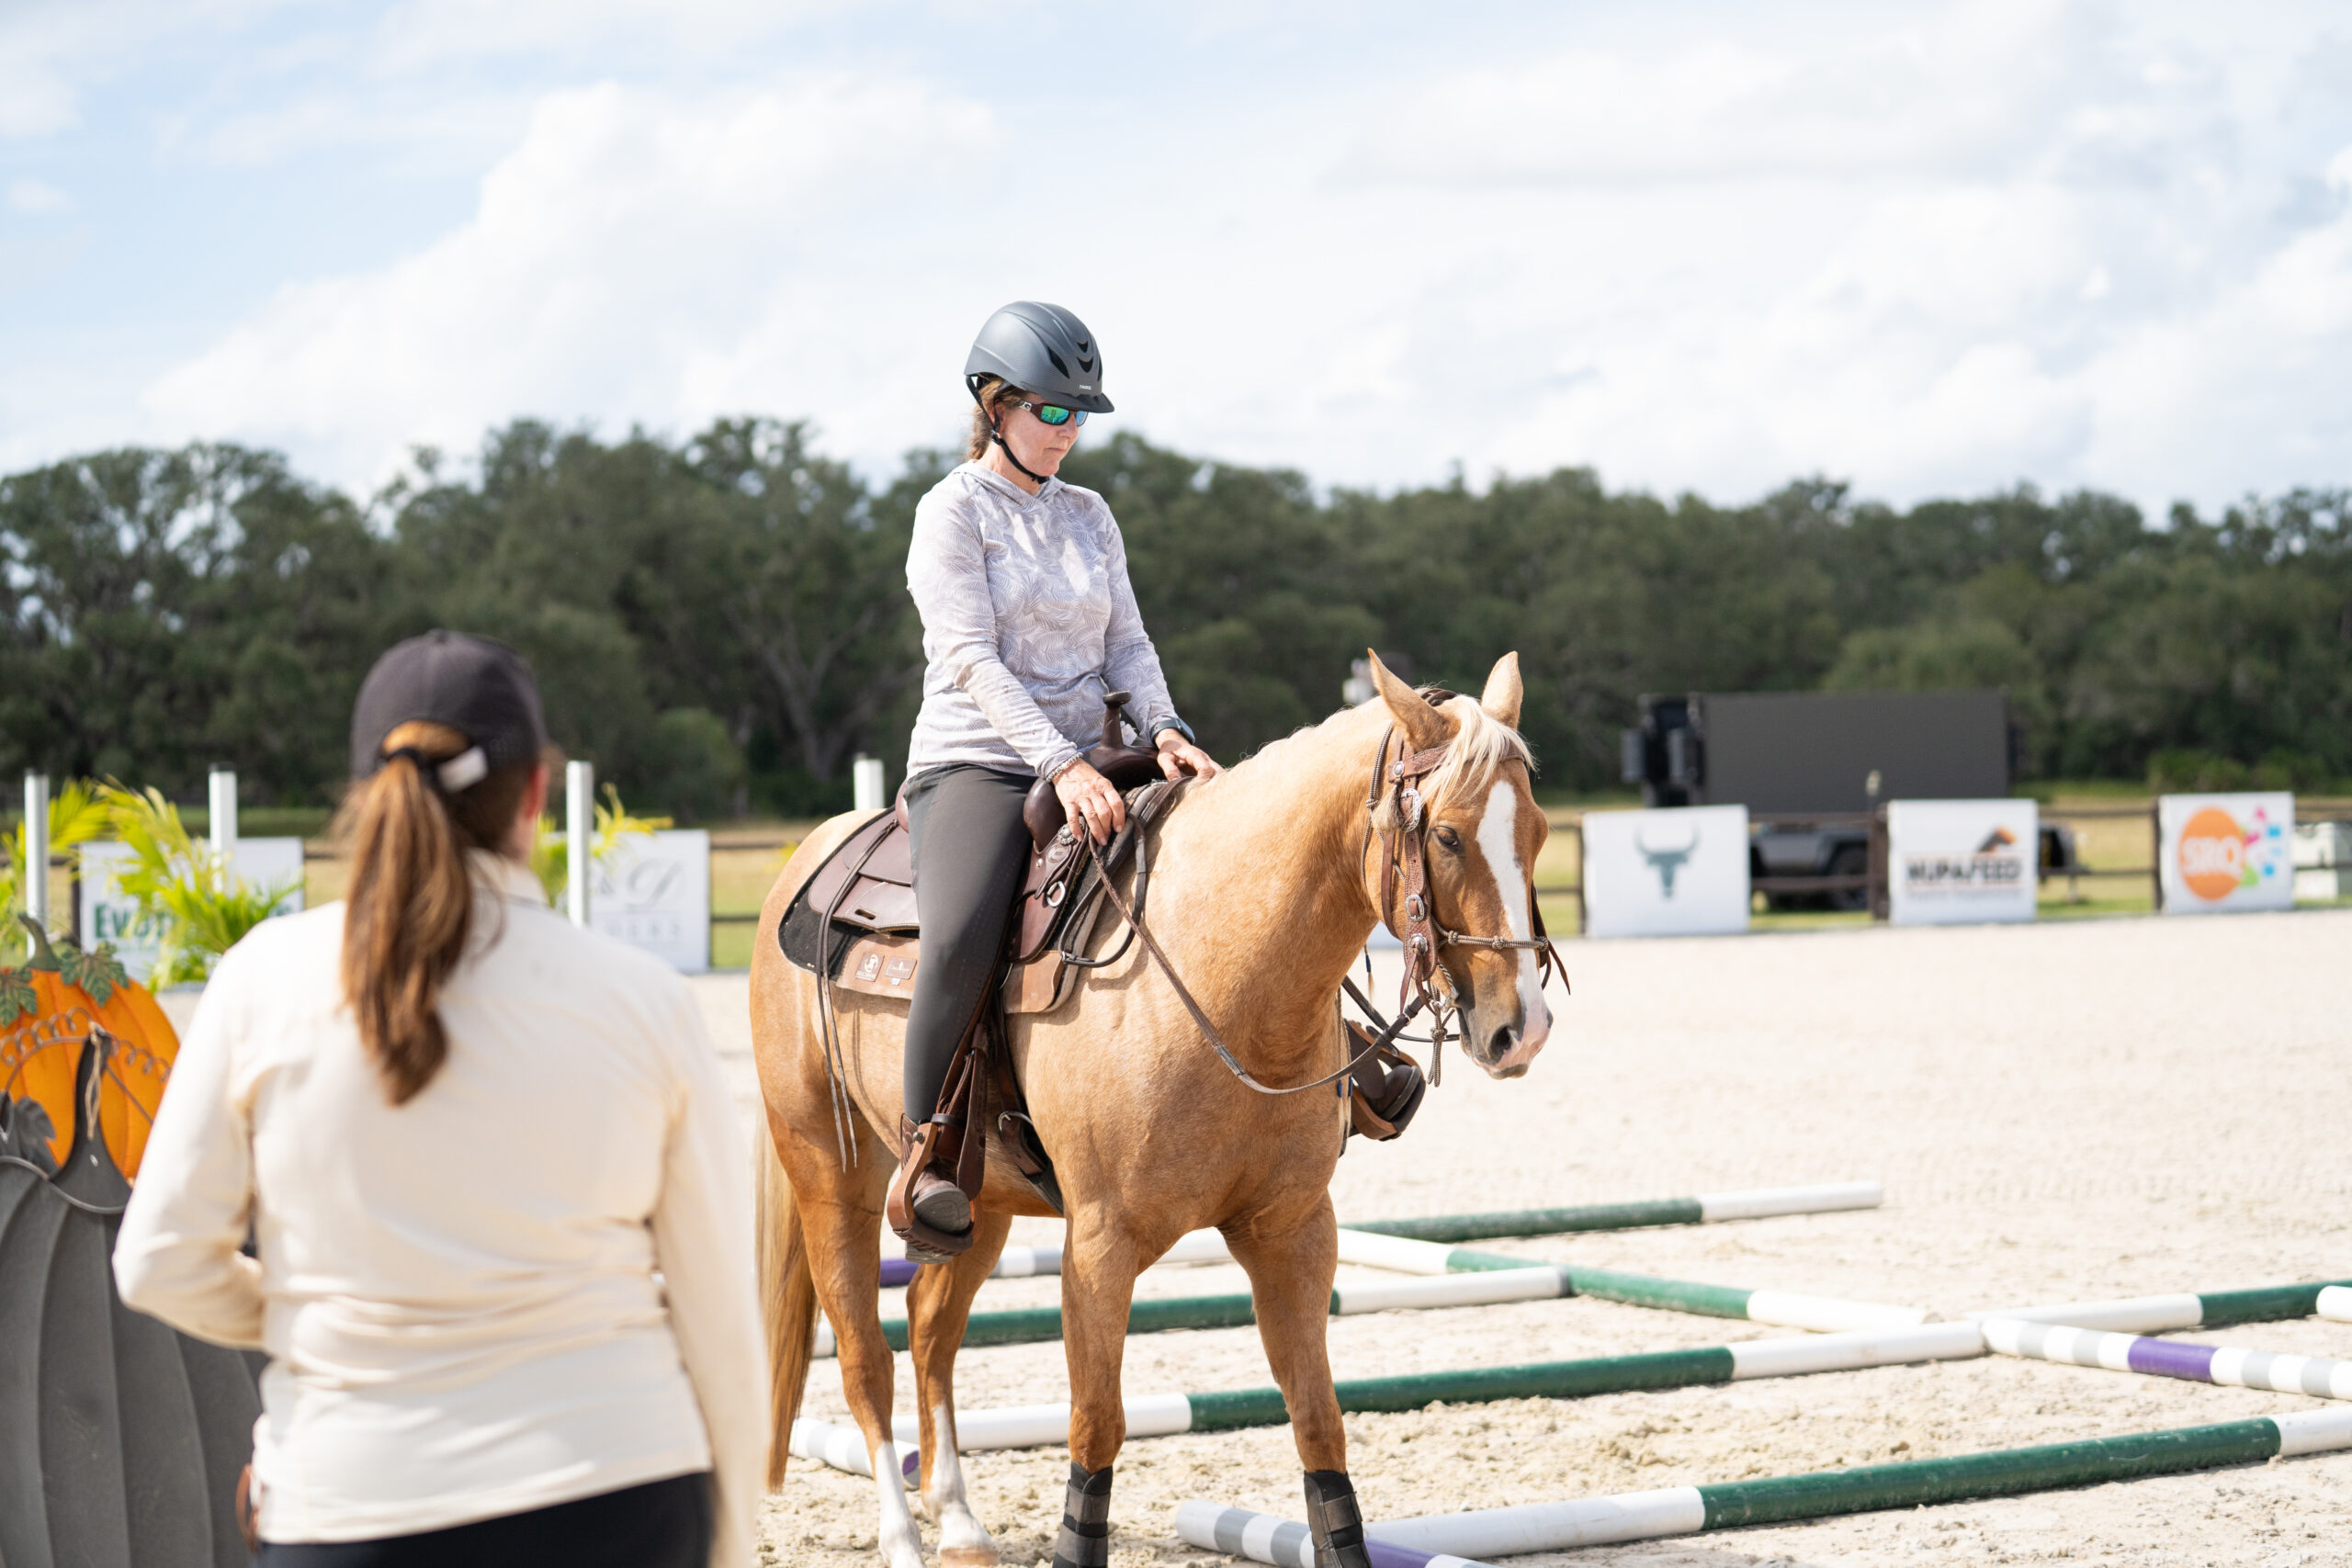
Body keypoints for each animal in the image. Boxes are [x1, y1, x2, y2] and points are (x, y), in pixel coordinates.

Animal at [749, 650, 1559, 1568]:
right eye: (1449, 835)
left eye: (1536, 832)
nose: (1522, 1029)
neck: (1221, 976)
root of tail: (810, 857)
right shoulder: (1101, 1244)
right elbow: (1097, 1427)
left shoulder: (1293, 1230)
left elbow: (1319, 1425)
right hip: (830, 1178)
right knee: (865, 1356)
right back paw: (902, 1538)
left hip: (977, 1203)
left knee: (930, 1331)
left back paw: (957, 1520)